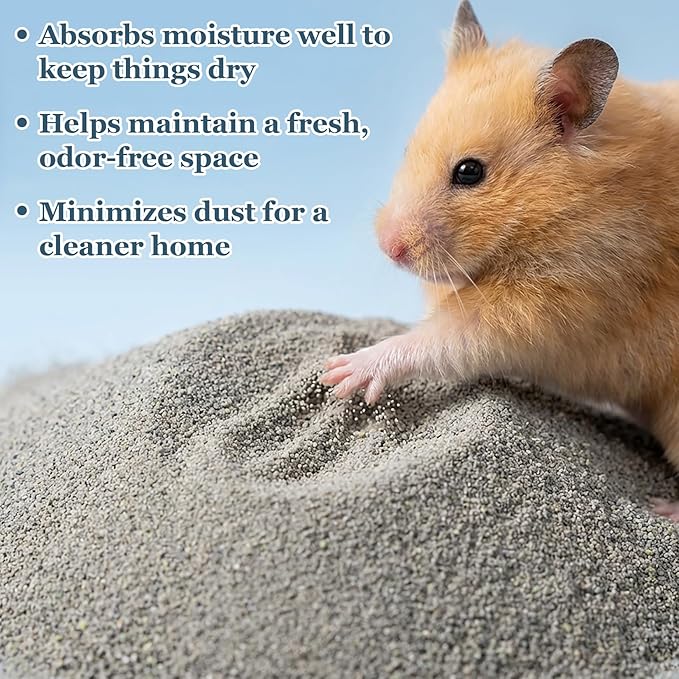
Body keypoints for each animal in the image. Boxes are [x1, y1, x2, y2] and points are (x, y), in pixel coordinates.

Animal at [320, 1, 679, 520]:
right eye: (409, 149)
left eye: (470, 172)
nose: (389, 247)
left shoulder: (548, 309)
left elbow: (442, 338)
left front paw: (340, 375)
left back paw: (659, 509)